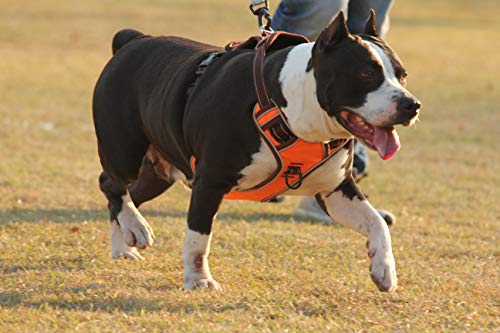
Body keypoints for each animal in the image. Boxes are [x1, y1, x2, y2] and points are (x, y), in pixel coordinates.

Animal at [93, 11, 418, 290]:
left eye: (402, 75)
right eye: (366, 75)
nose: (411, 104)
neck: (297, 109)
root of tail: (133, 40)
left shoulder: (336, 191)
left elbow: (376, 223)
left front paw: (384, 269)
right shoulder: (209, 182)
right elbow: (199, 238)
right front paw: (198, 279)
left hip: (158, 174)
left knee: (125, 197)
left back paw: (124, 244)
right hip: (125, 151)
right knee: (111, 183)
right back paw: (136, 227)